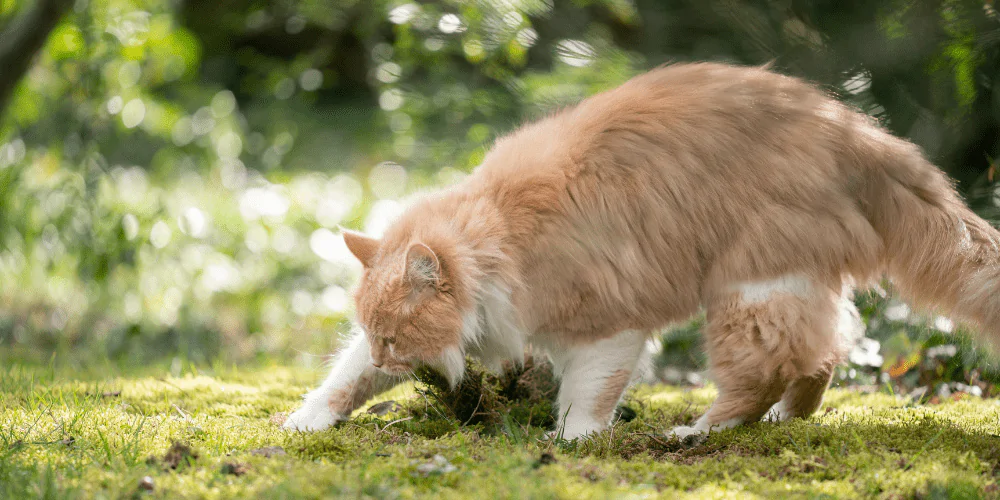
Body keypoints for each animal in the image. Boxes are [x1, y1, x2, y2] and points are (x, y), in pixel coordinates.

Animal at [282, 61, 1000, 438]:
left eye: (395, 338)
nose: (385, 353)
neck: (498, 238)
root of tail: (855, 129)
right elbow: (344, 380)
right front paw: (307, 420)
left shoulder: (610, 327)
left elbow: (585, 397)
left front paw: (572, 443)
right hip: (790, 285)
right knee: (824, 354)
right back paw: (782, 422)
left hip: (747, 292)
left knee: (766, 371)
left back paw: (701, 431)